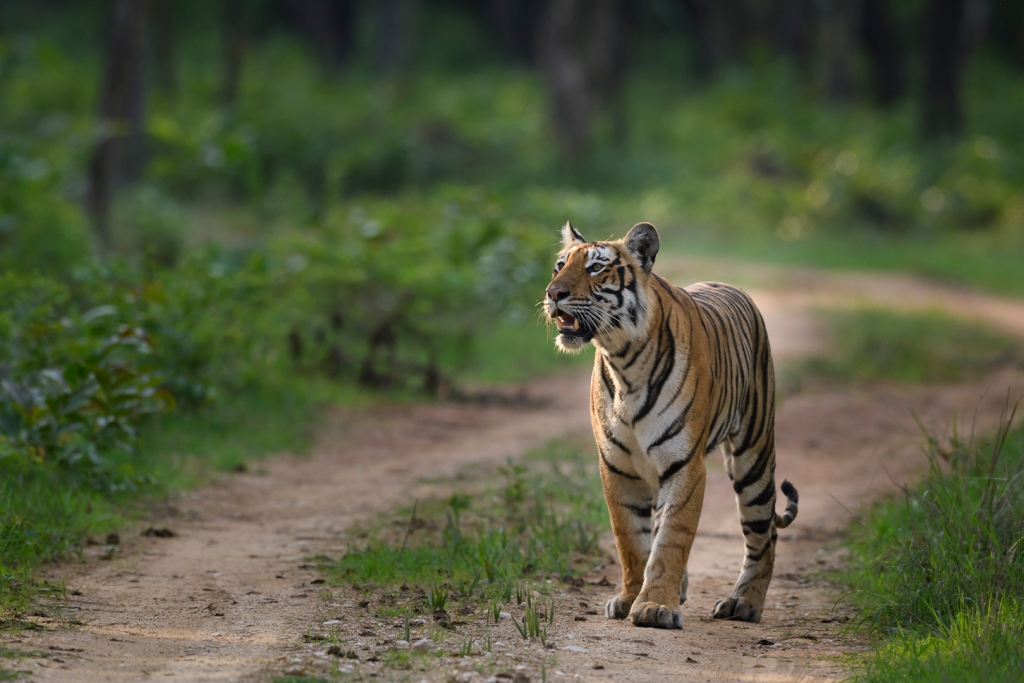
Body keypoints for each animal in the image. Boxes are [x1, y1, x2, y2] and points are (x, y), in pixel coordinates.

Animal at [544, 222, 798, 626]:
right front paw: (631, 598)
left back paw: (743, 603)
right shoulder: (617, 467)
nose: (553, 293)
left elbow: (671, 538)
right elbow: (632, 540)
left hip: (753, 457)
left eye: (596, 268)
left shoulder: (684, 465)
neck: (623, 361)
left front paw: (655, 606)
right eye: (559, 266)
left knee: (765, 533)